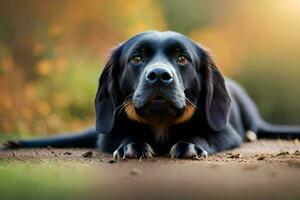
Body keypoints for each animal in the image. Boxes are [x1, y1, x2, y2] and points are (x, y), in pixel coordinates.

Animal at [5, 31, 300, 159]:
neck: (161, 124)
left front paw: (189, 144)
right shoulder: (108, 135)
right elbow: (124, 136)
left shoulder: (226, 133)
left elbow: (201, 135)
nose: (159, 75)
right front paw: (133, 145)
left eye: (183, 58)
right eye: (137, 58)